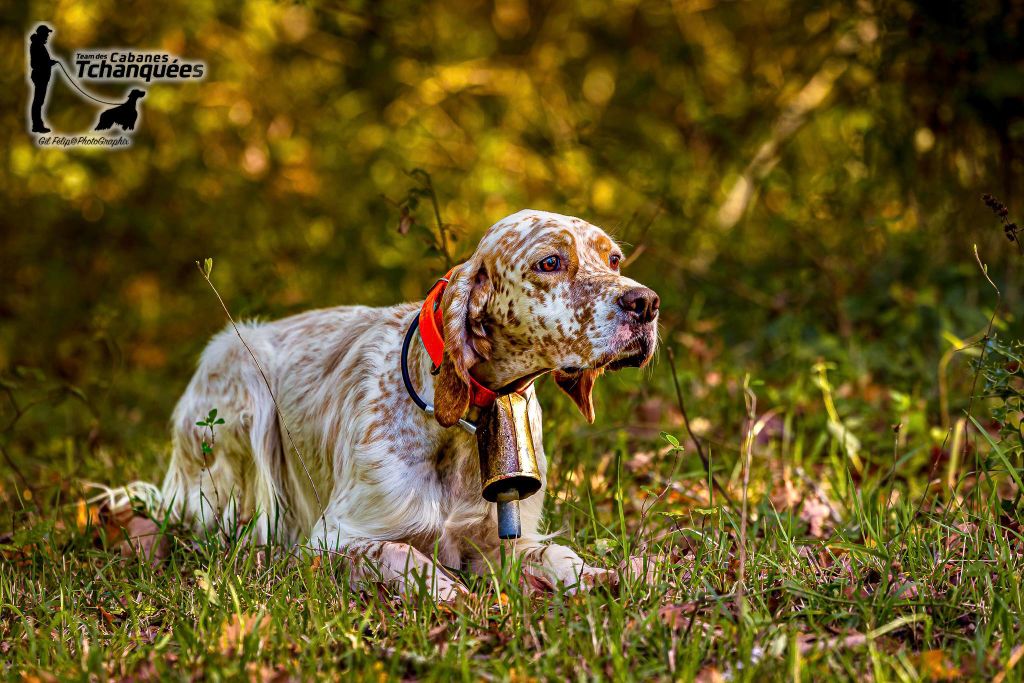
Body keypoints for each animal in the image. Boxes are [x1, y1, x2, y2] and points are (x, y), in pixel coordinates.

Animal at [157, 208, 655, 598]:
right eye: (550, 262)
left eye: (613, 259)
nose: (646, 303)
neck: (461, 426)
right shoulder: (331, 540)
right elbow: (402, 553)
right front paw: (449, 592)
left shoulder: (500, 536)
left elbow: (555, 553)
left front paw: (601, 575)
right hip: (239, 370)